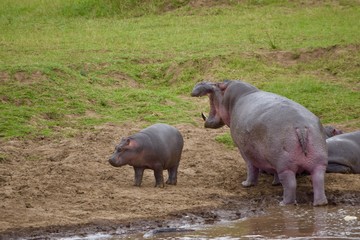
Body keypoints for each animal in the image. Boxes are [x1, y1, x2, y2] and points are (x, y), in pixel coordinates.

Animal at [193, 80, 328, 206]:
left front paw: (246, 184)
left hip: (285, 166)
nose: (201, 82)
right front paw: (275, 183)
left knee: (290, 184)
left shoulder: (244, 150)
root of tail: (301, 127)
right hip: (318, 163)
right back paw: (320, 203)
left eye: (217, 83)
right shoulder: (271, 159)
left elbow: (251, 167)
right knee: (318, 180)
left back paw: (283, 203)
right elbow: (273, 171)